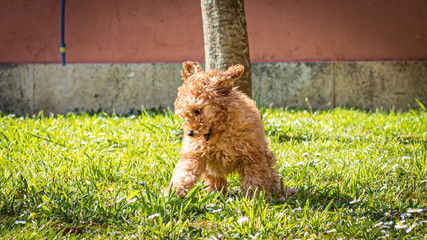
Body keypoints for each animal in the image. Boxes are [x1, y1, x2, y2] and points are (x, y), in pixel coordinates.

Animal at [165, 62, 298, 199]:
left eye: (197, 111)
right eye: (184, 114)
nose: (190, 133)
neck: (218, 130)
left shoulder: (251, 155)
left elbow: (254, 178)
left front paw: (254, 197)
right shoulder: (194, 153)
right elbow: (185, 173)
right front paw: (175, 192)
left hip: (266, 157)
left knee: (272, 176)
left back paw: (280, 192)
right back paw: (215, 194)